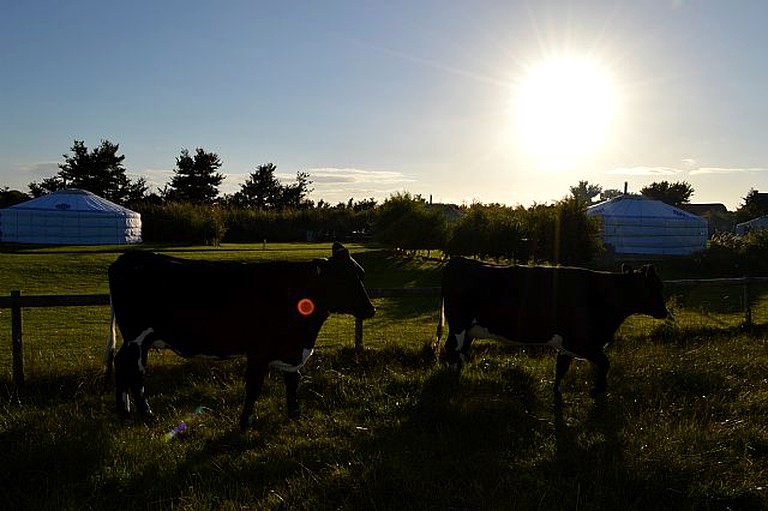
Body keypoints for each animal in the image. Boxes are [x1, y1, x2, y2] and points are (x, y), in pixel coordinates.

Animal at [104, 242, 376, 430]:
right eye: (342, 277)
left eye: (361, 274)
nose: (370, 309)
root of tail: (129, 257)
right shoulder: (259, 351)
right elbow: (254, 386)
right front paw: (245, 423)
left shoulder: (293, 349)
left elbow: (292, 382)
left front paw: (294, 415)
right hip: (138, 337)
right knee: (136, 372)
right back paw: (147, 415)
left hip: (135, 340)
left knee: (120, 363)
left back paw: (124, 411)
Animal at [436, 260, 668, 396]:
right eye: (657, 286)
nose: (665, 311)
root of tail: (458, 260)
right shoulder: (582, 342)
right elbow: (605, 363)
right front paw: (598, 391)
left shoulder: (567, 345)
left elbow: (561, 368)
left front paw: (557, 393)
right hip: (459, 324)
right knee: (451, 349)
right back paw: (452, 381)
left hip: (469, 329)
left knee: (460, 351)